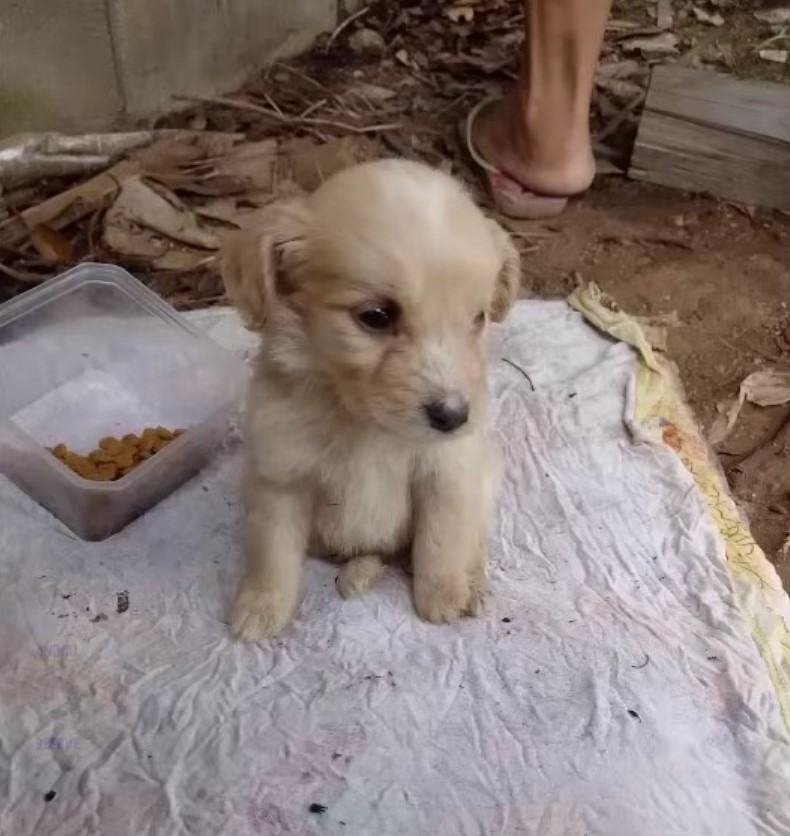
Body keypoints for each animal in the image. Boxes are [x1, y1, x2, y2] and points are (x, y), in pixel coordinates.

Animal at [221, 158, 520, 640]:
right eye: (376, 317)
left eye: (478, 318)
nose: (454, 417)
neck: (365, 424)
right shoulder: (280, 477)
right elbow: (271, 552)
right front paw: (261, 607)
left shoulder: (447, 471)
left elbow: (442, 539)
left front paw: (443, 596)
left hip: (486, 473)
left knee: (473, 534)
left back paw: (471, 584)